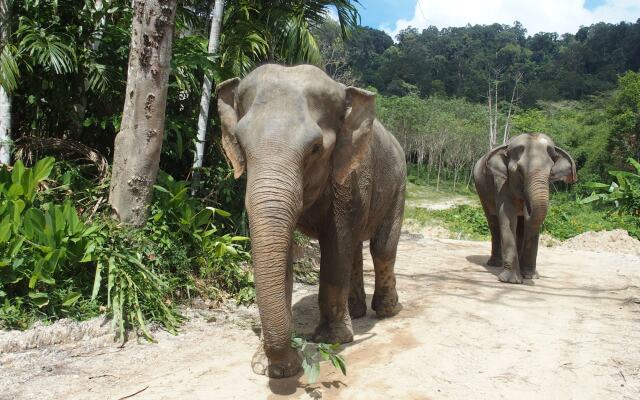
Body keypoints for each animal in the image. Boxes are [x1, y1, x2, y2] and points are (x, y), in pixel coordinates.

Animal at [215, 63, 404, 378]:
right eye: (239, 143)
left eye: (316, 148)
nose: (292, 357)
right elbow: (286, 255)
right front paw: (273, 368)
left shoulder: (349, 176)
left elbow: (336, 246)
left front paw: (332, 340)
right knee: (356, 248)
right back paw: (357, 312)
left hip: (399, 186)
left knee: (382, 247)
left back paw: (389, 311)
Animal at [472, 134, 576, 284]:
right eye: (520, 171)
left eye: (551, 172)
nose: (527, 204)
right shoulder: (501, 182)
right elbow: (508, 217)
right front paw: (511, 281)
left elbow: (529, 224)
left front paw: (530, 276)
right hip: (482, 191)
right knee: (493, 222)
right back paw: (495, 264)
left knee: (520, 227)